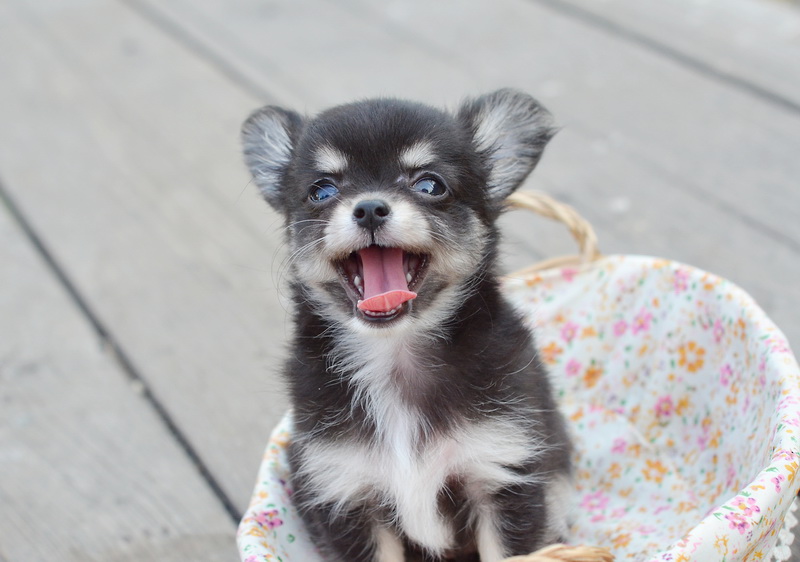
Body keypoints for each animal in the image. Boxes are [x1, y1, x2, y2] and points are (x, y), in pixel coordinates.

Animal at [241, 89, 573, 562]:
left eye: (429, 185)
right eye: (321, 190)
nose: (368, 208)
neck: (395, 356)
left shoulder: (501, 472)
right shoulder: (347, 494)